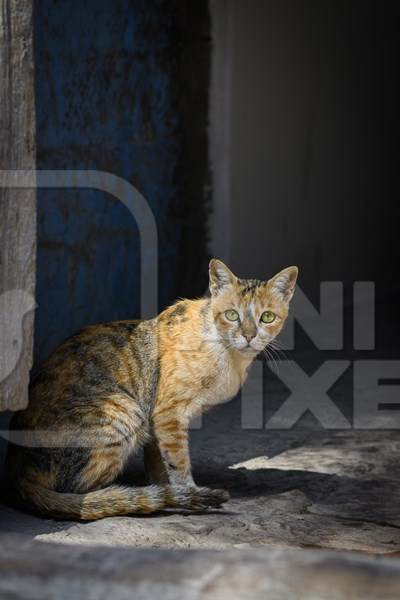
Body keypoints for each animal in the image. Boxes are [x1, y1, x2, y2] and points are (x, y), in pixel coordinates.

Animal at [4, 258, 296, 520]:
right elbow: (178, 463)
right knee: (81, 495)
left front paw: (168, 490)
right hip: (124, 411)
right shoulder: (169, 414)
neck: (230, 356)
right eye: (232, 315)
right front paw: (187, 494)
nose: (249, 336)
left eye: (267, 317)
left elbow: (158, 462)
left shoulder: (157, 421)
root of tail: (16, 471)